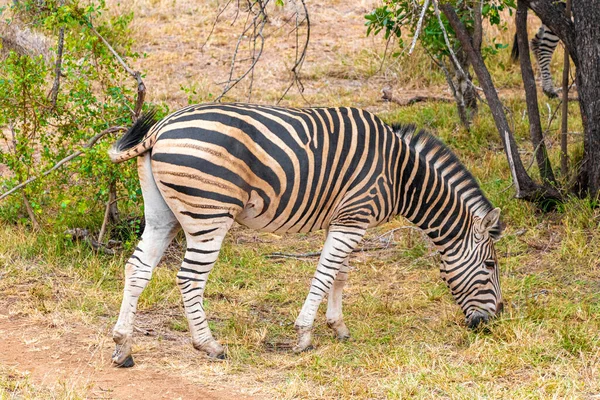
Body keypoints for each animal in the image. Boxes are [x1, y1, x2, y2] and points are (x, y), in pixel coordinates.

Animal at [106, 102, 502, 366]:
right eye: (490, 267)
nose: (492, 323)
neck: (401, 174)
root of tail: (160, 128)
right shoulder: (354, 217)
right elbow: (324, 275)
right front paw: (305, 336)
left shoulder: (345, 218)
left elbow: (340, 274)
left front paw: (338, 327)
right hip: (210, 214)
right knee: (189, 278)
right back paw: (209, 346)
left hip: (162, 214)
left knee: (137, 269)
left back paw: (123, 347)